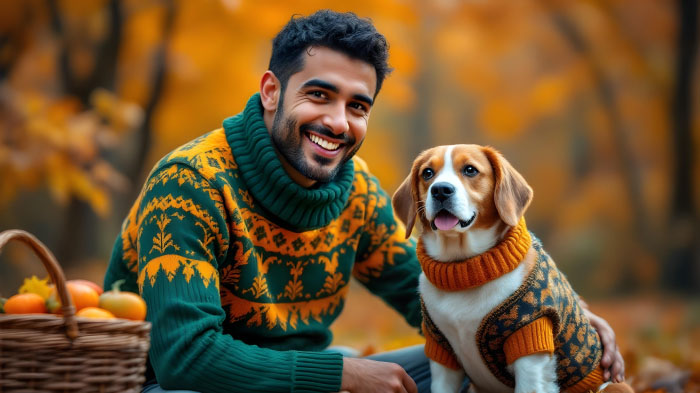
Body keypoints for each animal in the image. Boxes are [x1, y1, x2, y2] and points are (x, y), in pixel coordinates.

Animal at [392, 145, 632, 392]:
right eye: (428, 173)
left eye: (470, 170)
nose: (440, 190)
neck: (465, 269)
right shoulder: (441, 352)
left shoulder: (528, 340)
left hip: (612, 386)